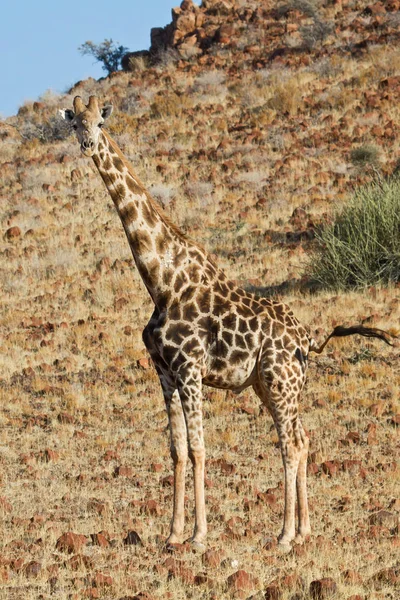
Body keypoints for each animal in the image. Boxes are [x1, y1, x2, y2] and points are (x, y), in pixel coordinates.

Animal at [59, 96, 394, 552]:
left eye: (100, 122)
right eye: (75, 123)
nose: (88, 145)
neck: (161, 280)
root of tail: (308, 338)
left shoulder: (190, 368)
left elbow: (200, 448)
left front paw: (199, 536)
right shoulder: (163, 371)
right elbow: (177, 449)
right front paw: (173, 534)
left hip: (280, 382)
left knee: (290, 443)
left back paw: (284, 535)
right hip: (269, 385)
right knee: (303, 438)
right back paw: (304, 530)